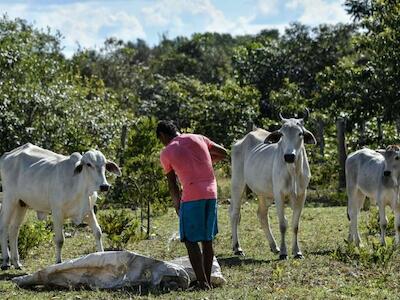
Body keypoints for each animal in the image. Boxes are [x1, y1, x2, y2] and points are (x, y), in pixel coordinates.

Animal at [230, 113, 318, 258]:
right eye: (281, 134)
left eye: (300, 133)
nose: (289, 156)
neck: (293, 170)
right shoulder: (279, 194)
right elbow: (283, 225)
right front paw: (283, 252)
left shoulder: (301, 195)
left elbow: (295, 225)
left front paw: (297, 251)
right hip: (238, 183)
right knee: (235, 213)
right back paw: (237, 248)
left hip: (264, 193)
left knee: (262, 215)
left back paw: (273, 246)